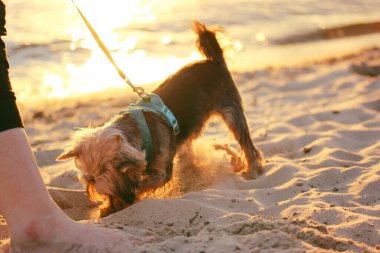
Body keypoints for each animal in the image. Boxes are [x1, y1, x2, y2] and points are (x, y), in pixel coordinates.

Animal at [57, 20, 264, 216]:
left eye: (103, 173)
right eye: (89, 179)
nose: (94, 187)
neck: (140, 133)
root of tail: (214, 60)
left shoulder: (161, 171)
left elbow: (146, 184)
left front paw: (125, 202)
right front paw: (109, 207)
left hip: (231, 110)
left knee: (246, 142)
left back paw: (252, 169)